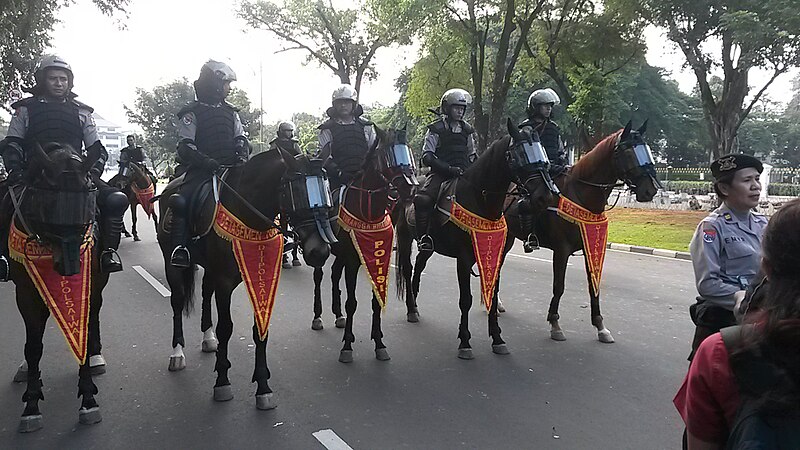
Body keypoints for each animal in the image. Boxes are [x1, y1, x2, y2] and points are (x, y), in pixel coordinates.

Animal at [5, 142, 109, 430]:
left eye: (87, 200)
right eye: (50, 202)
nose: (70, 266)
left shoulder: (91, 283)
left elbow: (85, 330)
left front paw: (88, 398)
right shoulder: (25, 294)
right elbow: (33, 347)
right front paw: (31, 404)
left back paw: (95, 355)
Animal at [156, 149, 332, 410]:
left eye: (326, 190)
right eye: (296, 192)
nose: (319, 252)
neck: (248, 216)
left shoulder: (259, 277)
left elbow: (260, 329)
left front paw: (263, 387)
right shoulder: (225, 282)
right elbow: (226, 328)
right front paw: (222, 381)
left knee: (205, 292)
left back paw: (208, 338)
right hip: (172, 260)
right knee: (177, 300)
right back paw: (177, 353)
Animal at [396, 119, 560, 358]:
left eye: (541, 153)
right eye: (518, 154)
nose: (544, 196)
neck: (481, 201)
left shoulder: (497, 257)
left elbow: (493, 293)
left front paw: (498, 338)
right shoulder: (464, 259)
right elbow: (465, 300)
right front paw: (465, 341)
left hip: (428, 244)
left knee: (419, 264)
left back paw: (415, 305)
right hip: (404, 235)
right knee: (408, 269)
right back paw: (410, 307)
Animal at [504, 119, 660, 342]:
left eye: (645, 150)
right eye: (628, 152)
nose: (650, 191)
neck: (581, 195)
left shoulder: (591, 247)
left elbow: (594, 285)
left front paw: (600, 325)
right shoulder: (561, 250)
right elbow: (559, 286)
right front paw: (554, 323)